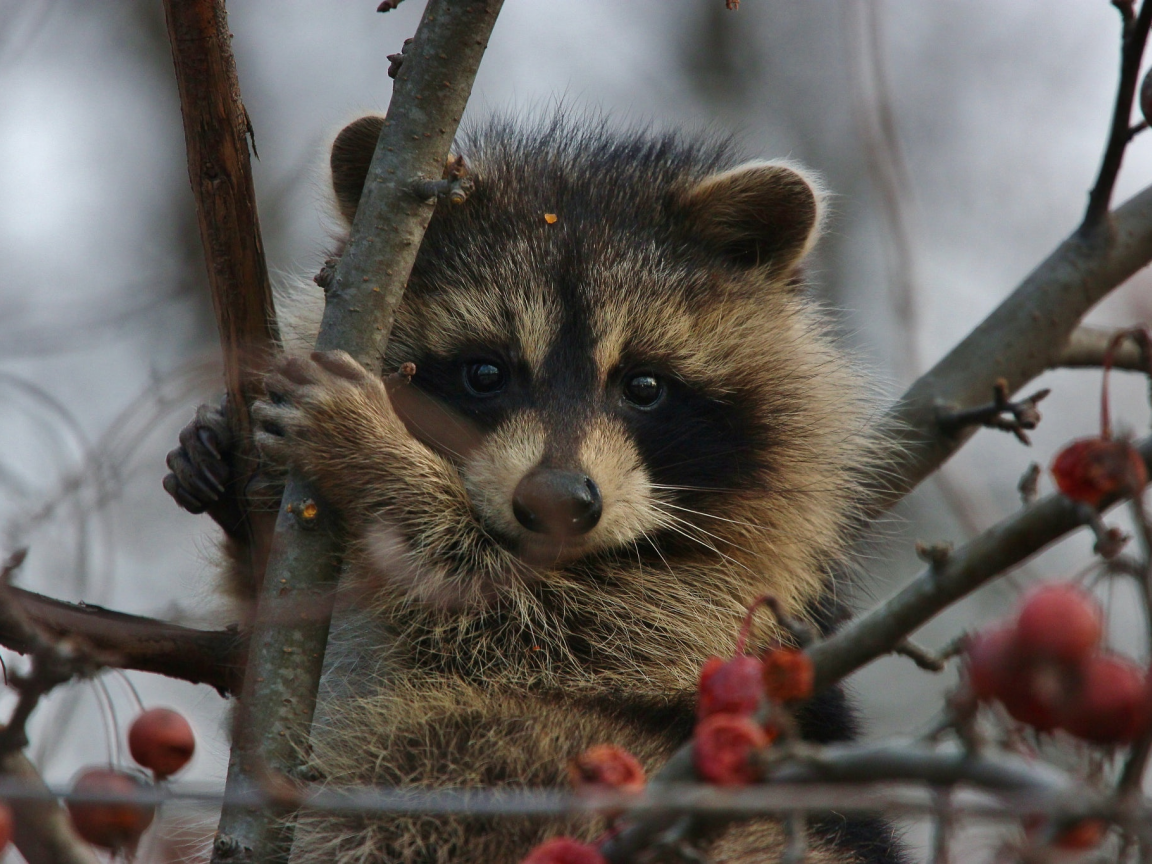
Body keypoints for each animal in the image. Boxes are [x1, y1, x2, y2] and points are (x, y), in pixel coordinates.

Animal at [164, 116, 898, 864]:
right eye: (484, 373)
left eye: (644, 386)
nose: (559, 502)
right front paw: (229, 482)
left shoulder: (714, 604)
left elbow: (532, 618)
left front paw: (379, 459)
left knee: (446, 748)